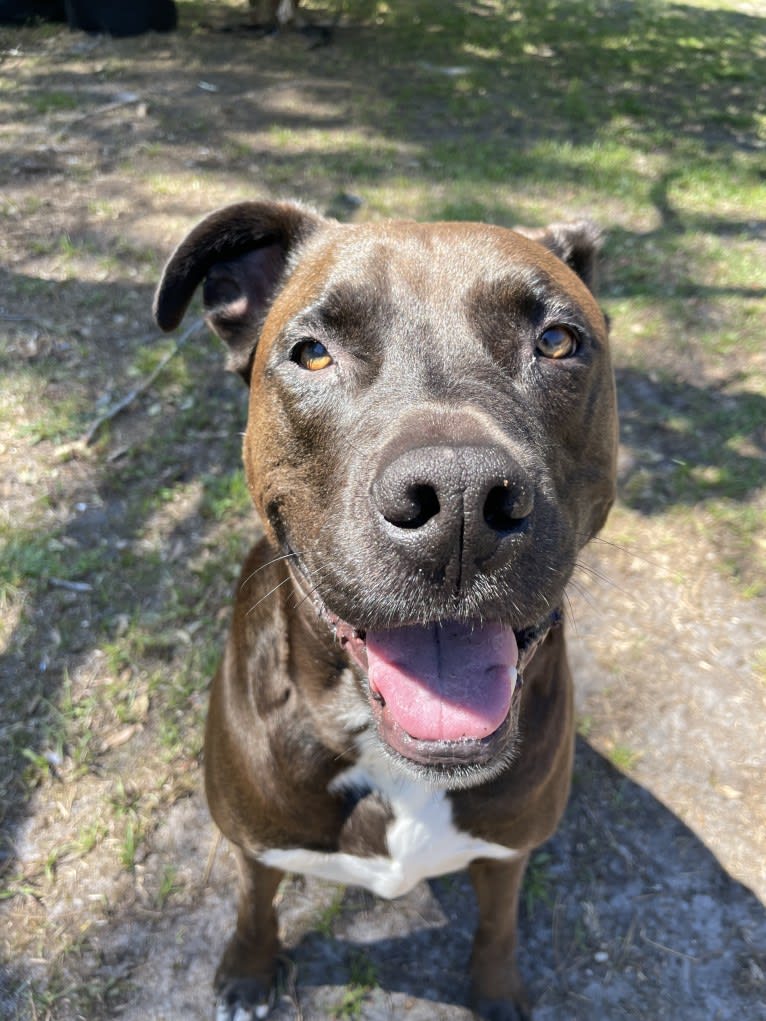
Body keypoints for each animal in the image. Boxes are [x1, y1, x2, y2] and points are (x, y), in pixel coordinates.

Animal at [154, 201, 616, 1021]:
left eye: (557, 341)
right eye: (312, 353)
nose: (460, 499)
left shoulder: (508, 850)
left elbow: (499, 921)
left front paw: (496, 989)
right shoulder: (254, 843)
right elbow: (254, 903)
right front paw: (247, 969)